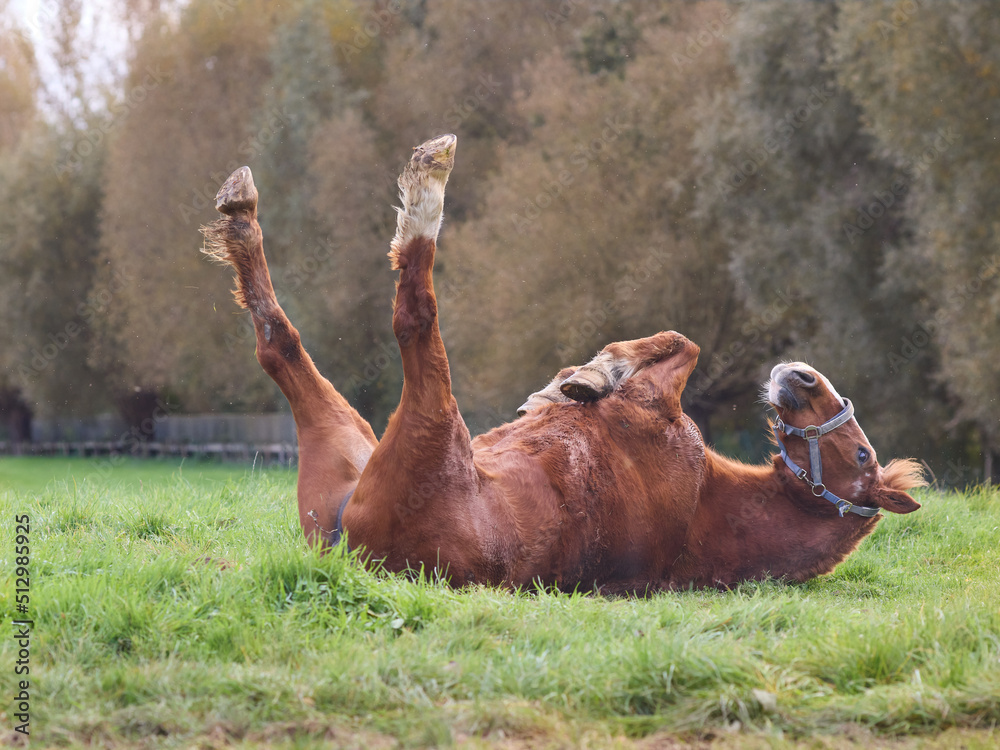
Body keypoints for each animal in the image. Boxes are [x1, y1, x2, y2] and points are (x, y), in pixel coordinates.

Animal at [200, 134, 925, 593]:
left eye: (863, 455)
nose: (801, 376)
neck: (706, 505)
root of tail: (349, 556)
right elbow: (677, 340)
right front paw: (571, 382)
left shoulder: (652, 411)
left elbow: (680, 346)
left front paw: (586, 377)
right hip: (349, 438)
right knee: (280, 343)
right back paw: (240, 210)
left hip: (429, 425)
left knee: (407, 312)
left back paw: (428, 176)